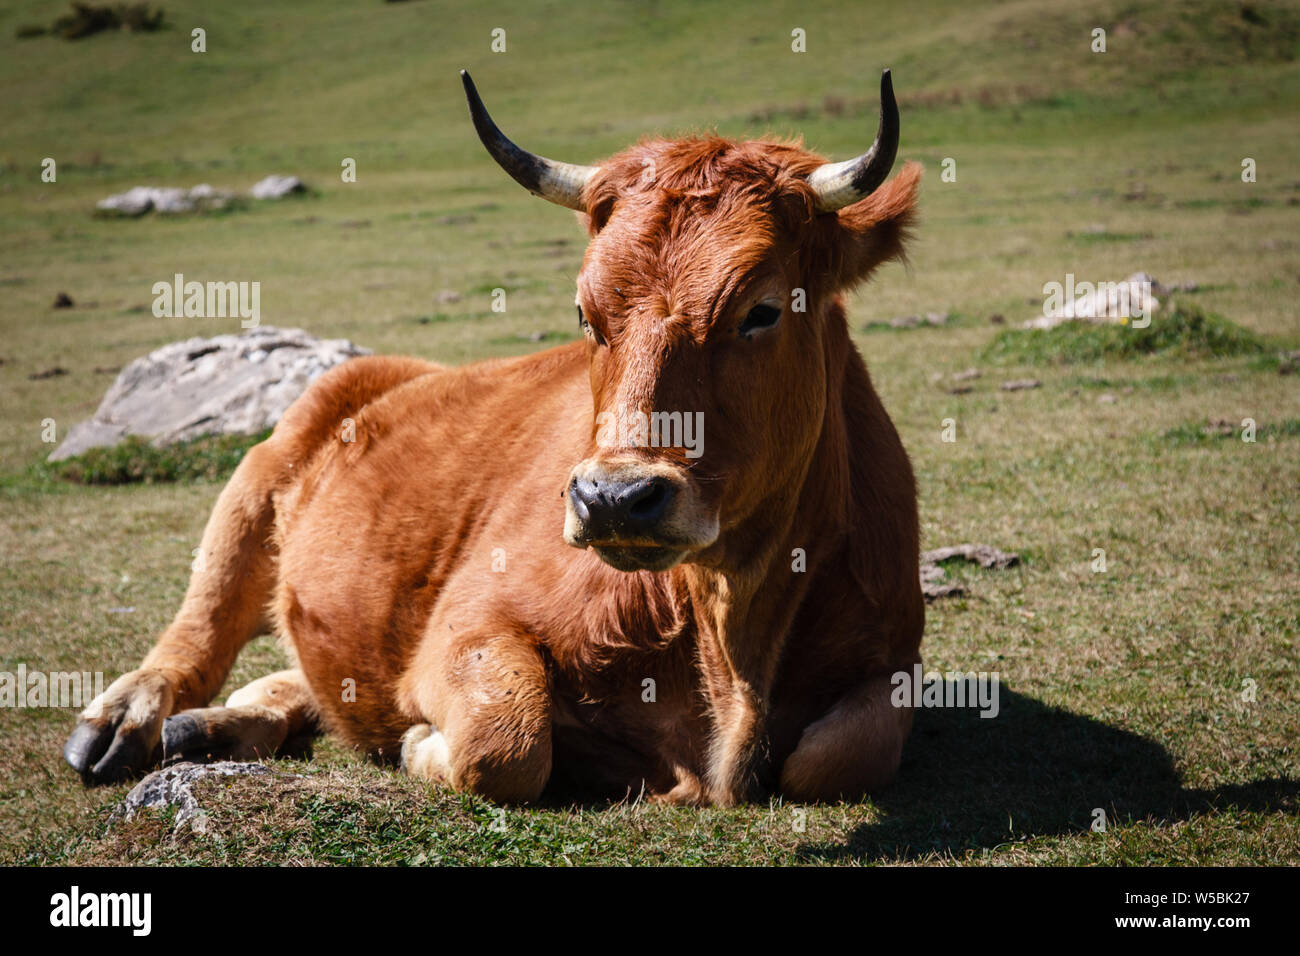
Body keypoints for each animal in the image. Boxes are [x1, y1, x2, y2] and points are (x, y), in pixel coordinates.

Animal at [63, 69, 925, 806]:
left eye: (762, 309)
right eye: (585, 313)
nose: (616, 499)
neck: (730, 626)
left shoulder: (895, 660)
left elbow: (840, 753)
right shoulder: (467, 624)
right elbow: (505, 742)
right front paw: (420, 744)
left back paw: (221, 725)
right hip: (253, 488)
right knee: (200, 626)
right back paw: (129, 718)